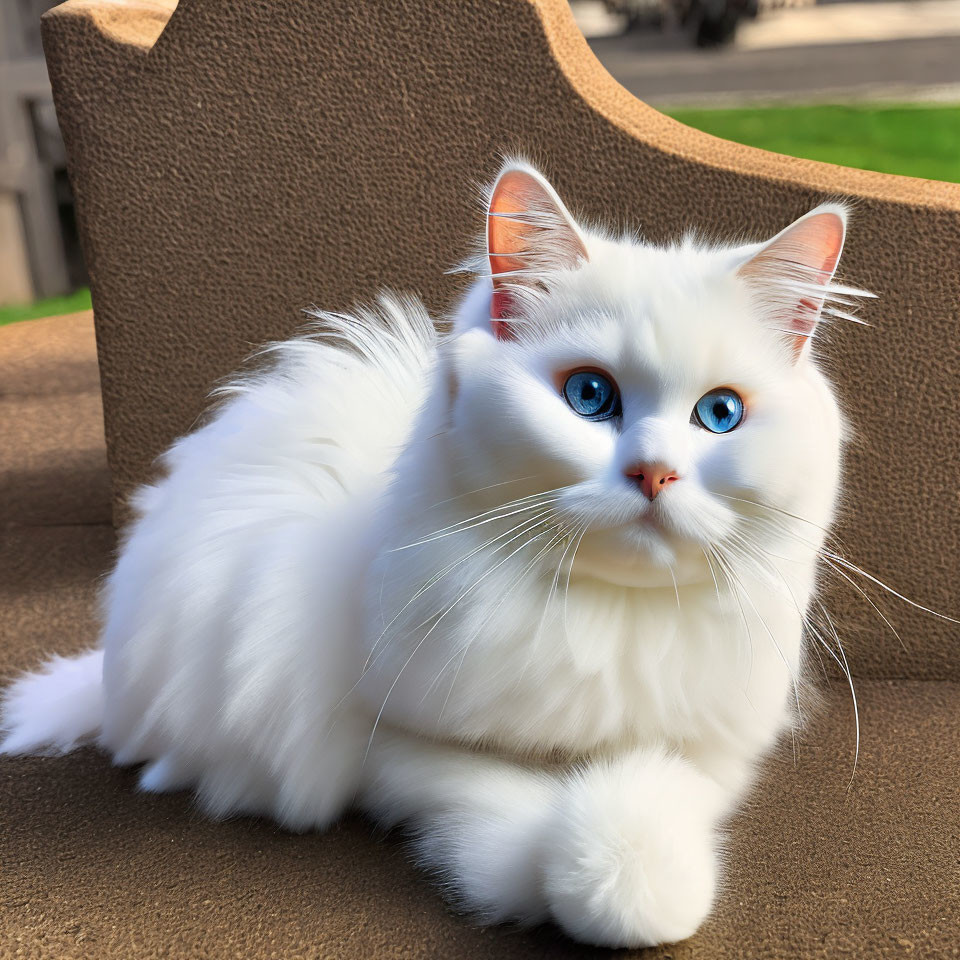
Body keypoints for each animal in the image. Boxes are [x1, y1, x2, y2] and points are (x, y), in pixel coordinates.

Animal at [1, 161, 872, 948]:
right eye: (590, 396)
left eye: (720, 414)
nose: (653, 473)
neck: (608, 611)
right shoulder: (400, 742)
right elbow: (511, 813)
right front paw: (571, 885)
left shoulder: (712, 746)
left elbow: (652, 794)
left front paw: (637, 885)